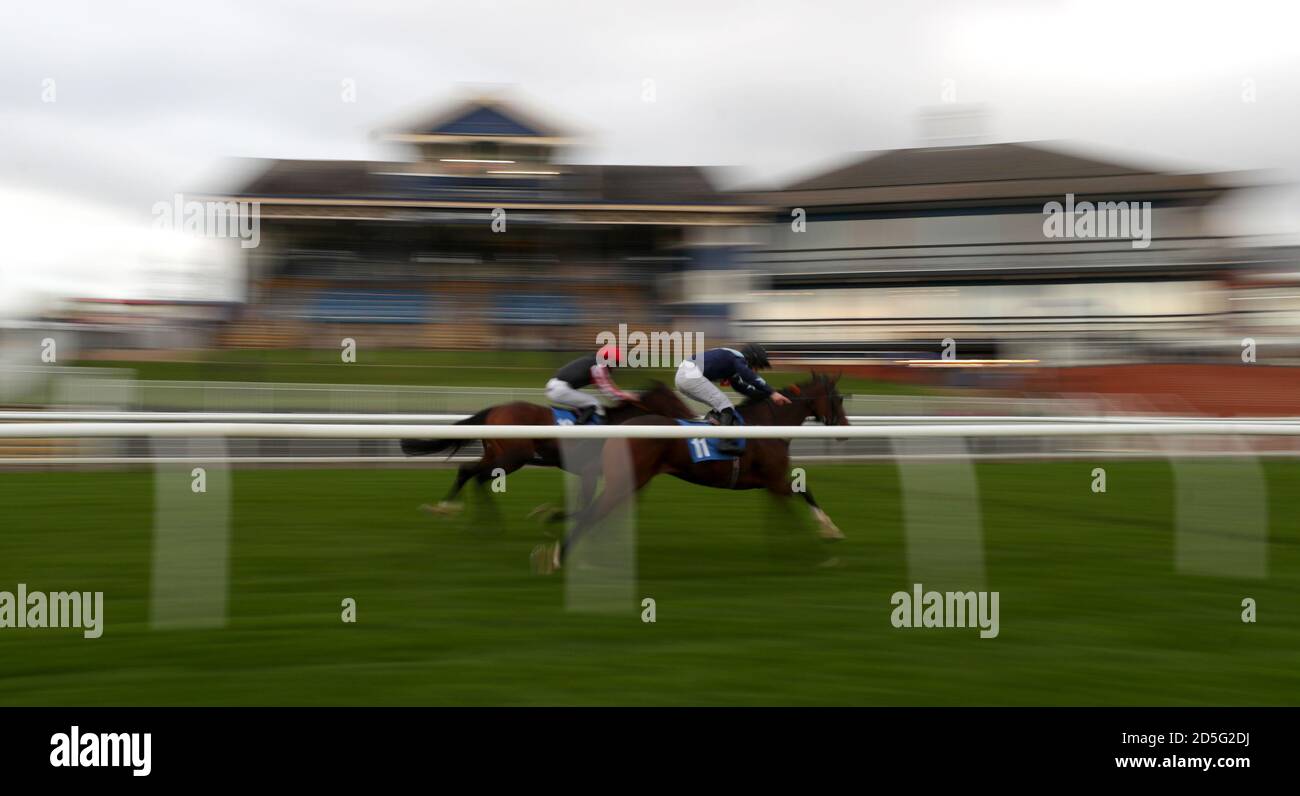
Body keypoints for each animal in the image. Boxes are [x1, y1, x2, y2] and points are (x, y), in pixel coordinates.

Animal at [400, 382, 696, 520]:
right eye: (674, 401)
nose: (693, 417)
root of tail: (495, 409)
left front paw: (548, 511)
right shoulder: (591, 470)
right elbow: (585, 503)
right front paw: (552, 515)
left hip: (496, 454)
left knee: (467, 471)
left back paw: (446, 508)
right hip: (513, 457)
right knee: (480, 477)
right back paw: (485, 521)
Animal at [530, 371, 852, 572]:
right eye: (837, 399)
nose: (846, 430)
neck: (768, 424)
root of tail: (618, 431)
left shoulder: (767, 483)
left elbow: (790, 503)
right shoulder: (774, 479)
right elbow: (802, 495)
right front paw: (823, 543)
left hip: (632, 480)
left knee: (595, 511)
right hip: (625, 481)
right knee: (593, 512)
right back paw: (560, 555)